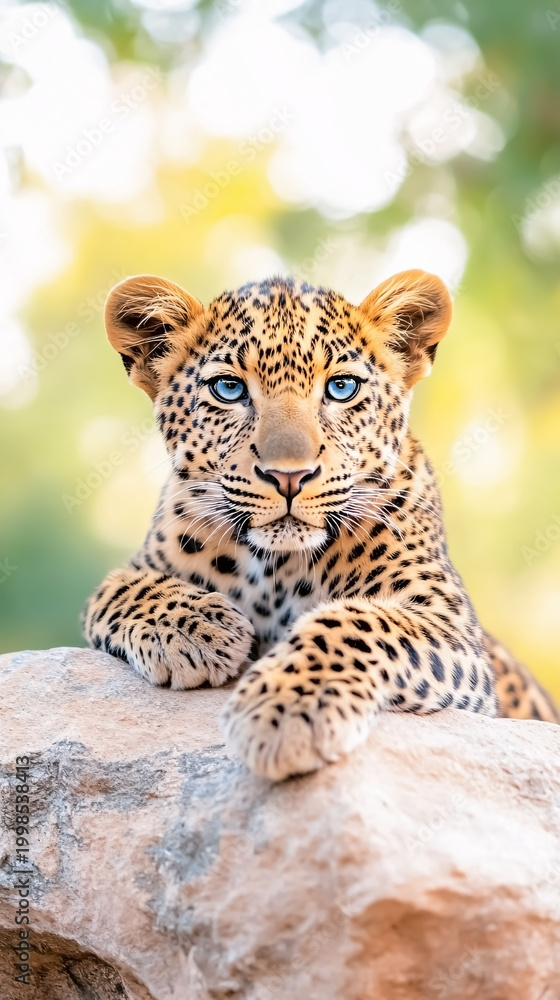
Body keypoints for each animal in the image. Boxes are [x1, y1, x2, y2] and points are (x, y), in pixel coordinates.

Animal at [83, 268, 559, 780]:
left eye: (342, 388)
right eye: (228, 389)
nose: (289, 476)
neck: (275, 566)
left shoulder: (451, 626)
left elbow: (356, 622)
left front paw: (285, 712)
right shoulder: (143, 563)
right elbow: (115, 586)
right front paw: (200, 629)